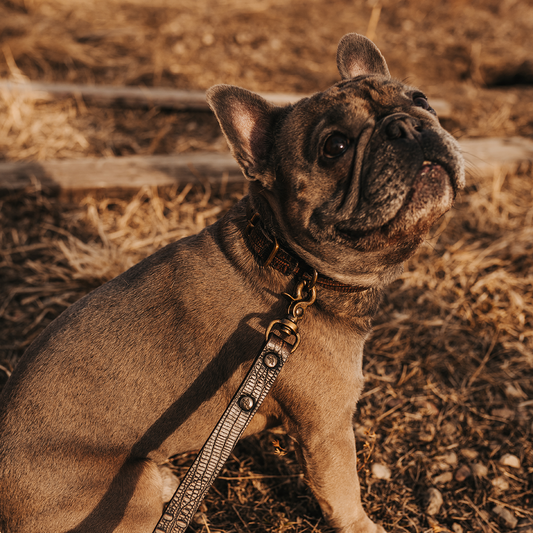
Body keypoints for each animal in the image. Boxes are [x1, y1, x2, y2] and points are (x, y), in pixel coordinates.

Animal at [0, 34, 464, 532]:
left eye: (422, 100)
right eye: (335, 146)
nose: (406, 125)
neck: (292, 267)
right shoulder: (329, 429)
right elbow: (345, 493)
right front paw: (365, 525)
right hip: (133, 492)